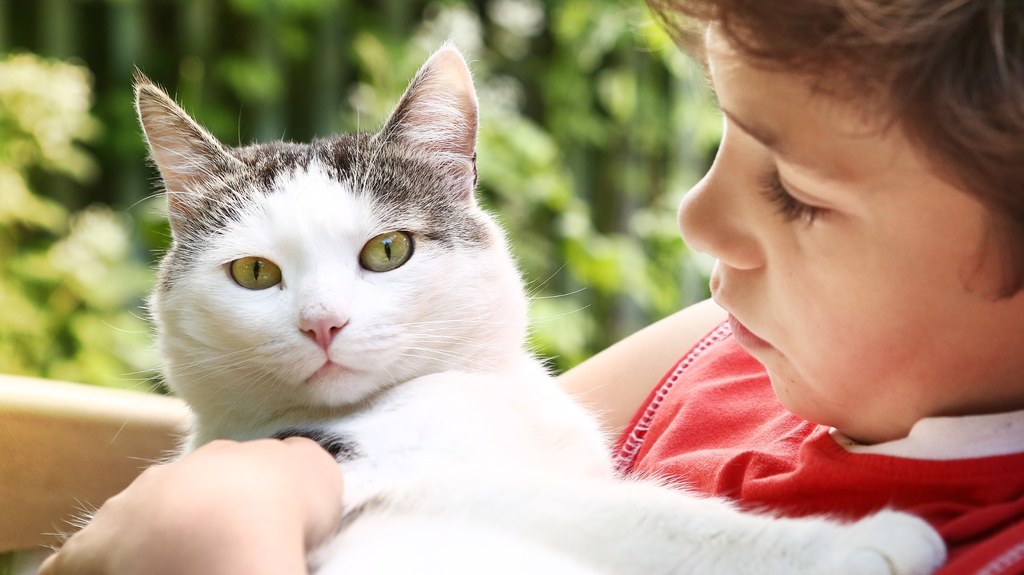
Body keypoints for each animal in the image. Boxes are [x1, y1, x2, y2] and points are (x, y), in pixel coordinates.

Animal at [134, 45, 942, 572]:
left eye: (388, 251)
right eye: (254, 272)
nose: (322, 323)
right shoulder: (426, 487)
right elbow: (655, 518)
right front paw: (858, 542)